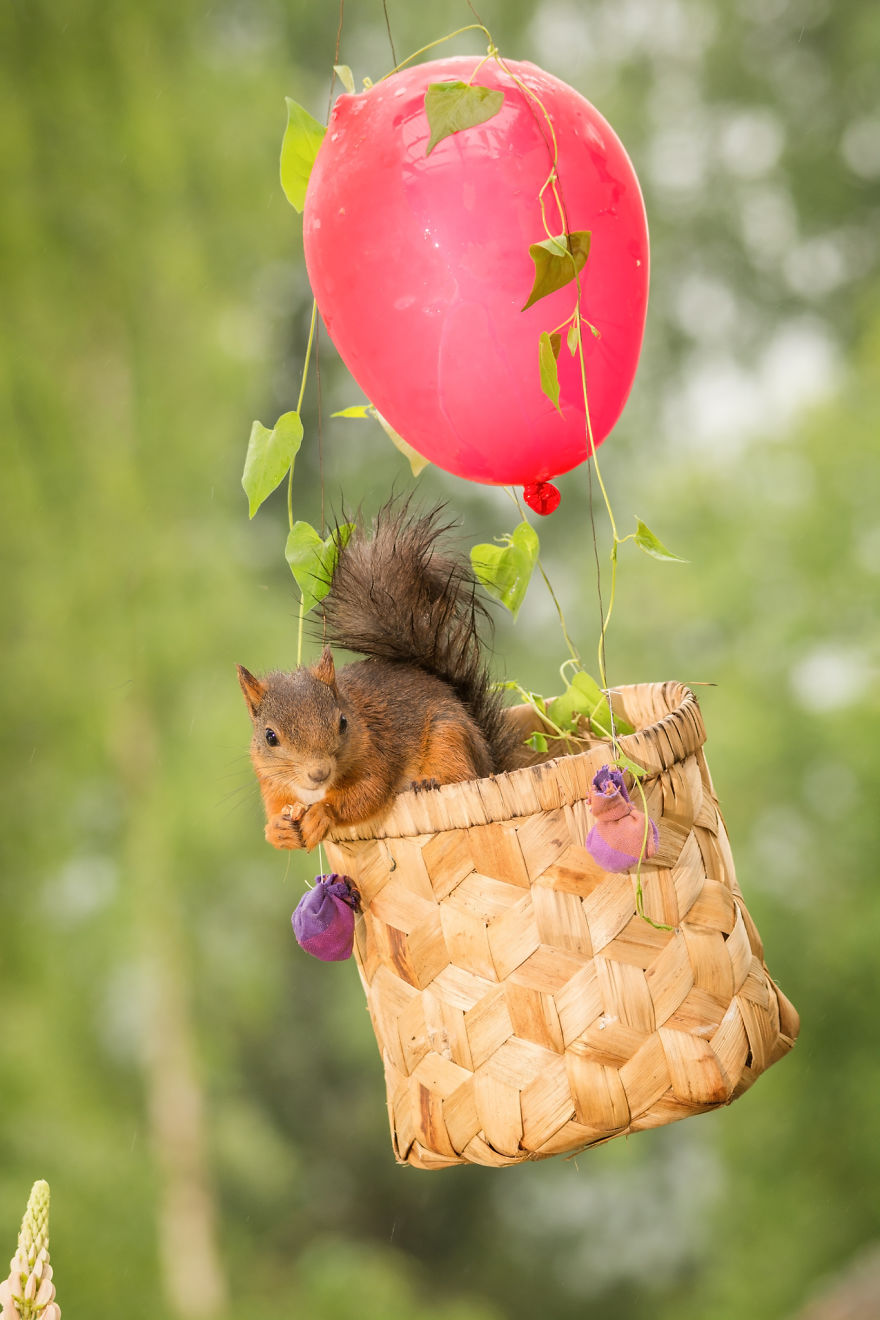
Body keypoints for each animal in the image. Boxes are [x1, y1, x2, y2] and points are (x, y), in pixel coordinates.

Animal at [237, 502, 521, 852]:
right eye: (270, 736)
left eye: (343, 722)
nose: (319, 773)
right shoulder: (270, 779)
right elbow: (275, 806)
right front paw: (277, 829)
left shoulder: (379, 752)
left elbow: (369, 792)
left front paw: (323, 813)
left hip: (449, 735)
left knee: (461, 773)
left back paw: (429, 781)